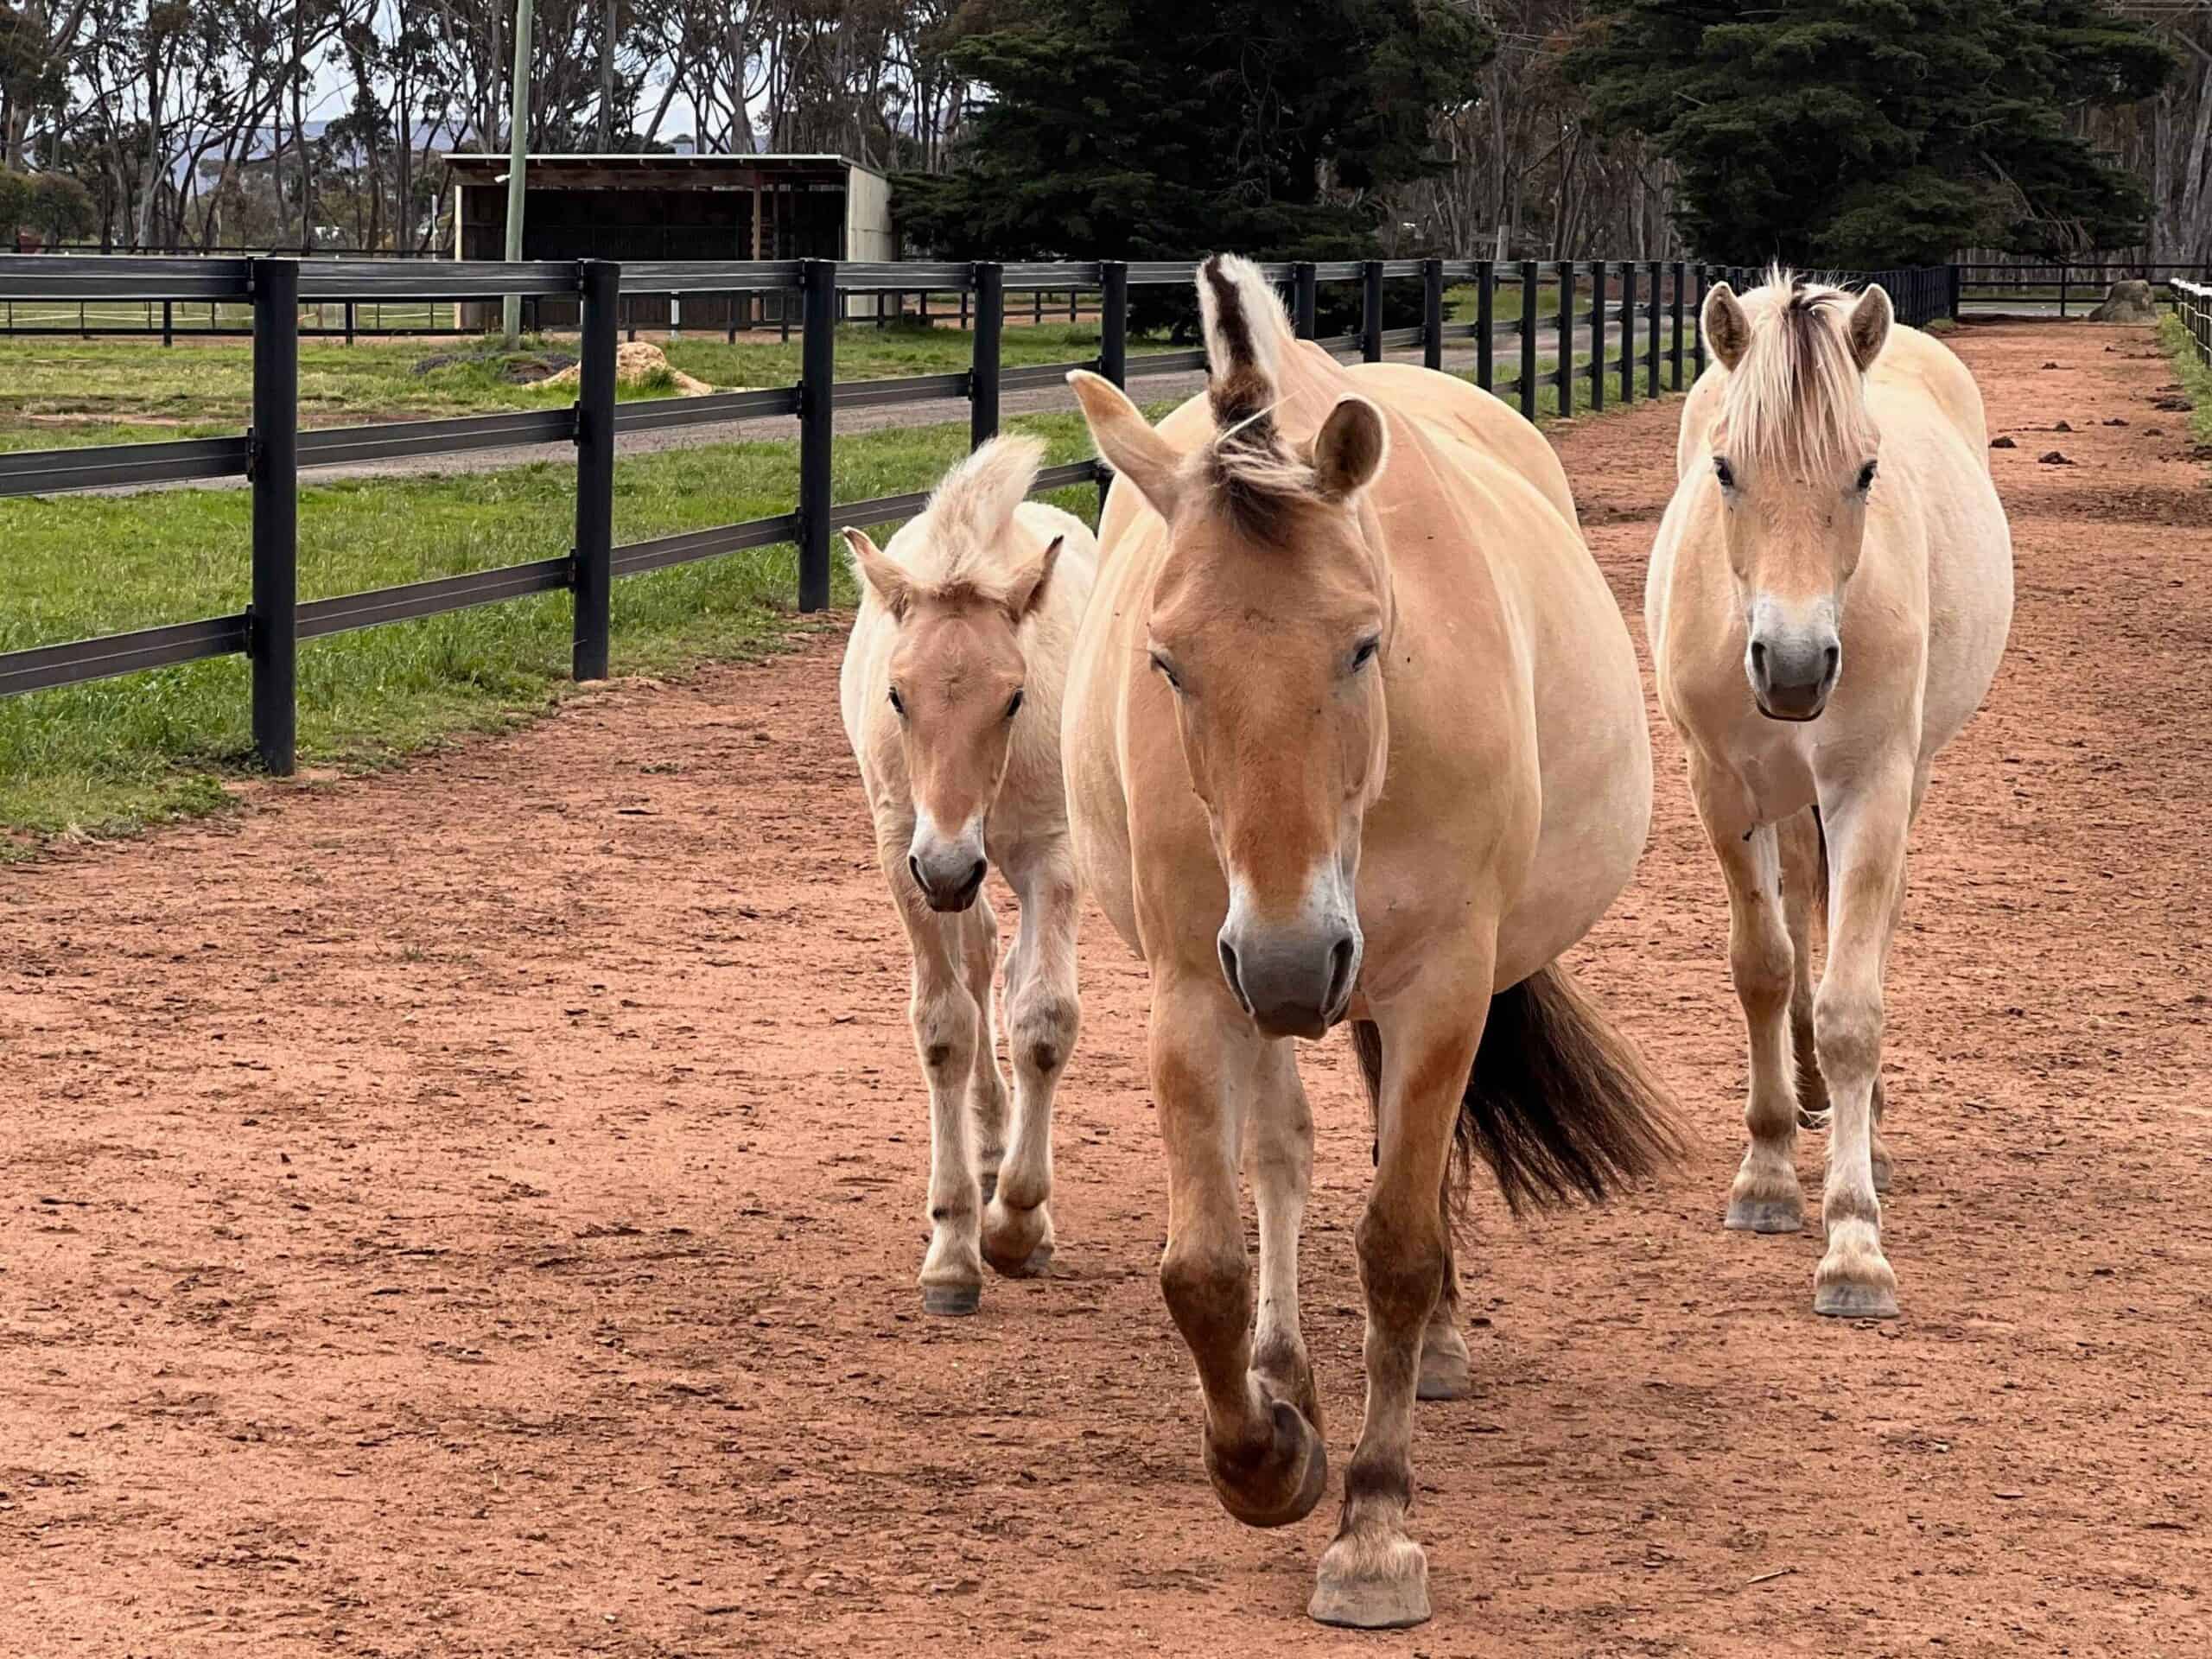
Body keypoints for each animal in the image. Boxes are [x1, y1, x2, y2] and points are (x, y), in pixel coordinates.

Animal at [838, 435, 1099, 1316]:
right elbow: (945, 1027)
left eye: (1015, 698)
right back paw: (987, 1142)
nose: (951, 866)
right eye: (896, 695)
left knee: (1007, 968)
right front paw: (953, 1250)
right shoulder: (904, 854)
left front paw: (1019, 1226)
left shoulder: (1053, 853)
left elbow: (1044, 1020)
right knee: (983, 958)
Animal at [1062, 256, 1679, 1629]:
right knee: (1286, 1151)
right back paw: (1286, 1370)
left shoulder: (1442, 983)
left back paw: (1429, 1350)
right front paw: (1266, 1455)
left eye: (1362, 643)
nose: (1296, 964)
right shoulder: (1196, 987)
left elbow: (1398, 1241)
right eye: (1166, 663)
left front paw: (1375, 1530)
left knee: (1414, 1166)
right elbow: (1202, 1265)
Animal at [1646, 269, 2012, 1318]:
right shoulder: (1722, 791)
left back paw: (1868, 1131)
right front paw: (1766, 1173)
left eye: (1865, 472)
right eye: (1725, 469)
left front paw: (1853, 1243)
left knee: (1867, 925)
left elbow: (1854, 1006)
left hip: (1904, 779)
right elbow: (1763, 969)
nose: (1798, 664)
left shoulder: (1870, 786)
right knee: (1800, 913)